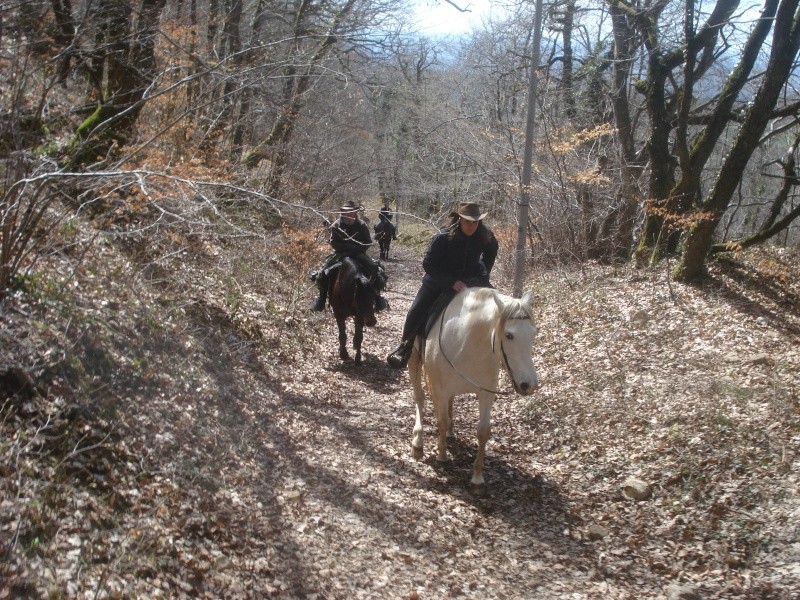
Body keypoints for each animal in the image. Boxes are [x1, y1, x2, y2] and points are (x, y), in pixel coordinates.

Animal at [410, 286, 540, 488]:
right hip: (414, 361)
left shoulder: (485, 393)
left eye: (533, 334)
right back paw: (418, 442)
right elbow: (441, 421)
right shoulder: (441, 390)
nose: (529, 385)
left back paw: (450, 432)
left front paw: (477, 477)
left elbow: (483, 431)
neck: (468, 343)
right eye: (509, 335)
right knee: (419, 398)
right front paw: (442, 455)